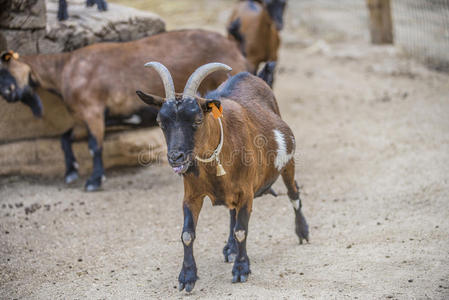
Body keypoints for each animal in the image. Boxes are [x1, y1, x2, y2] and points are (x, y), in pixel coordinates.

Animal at [0, 29, 245, 191]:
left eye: (6, 69)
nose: (7, 94)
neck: (66, 69)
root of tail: (233, 45)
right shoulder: (83, 118)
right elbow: (65, 137)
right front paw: (71, 171)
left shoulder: (93, 111)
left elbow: (94, 146)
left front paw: (94, 181)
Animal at [136, 61, 308, 292]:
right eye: (160, 122)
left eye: (197, 120)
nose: (175, 157)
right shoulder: (191, 195)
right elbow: (187, 234)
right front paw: (187, 276)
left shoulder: (247, 193)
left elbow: (241, 230)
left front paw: (241, 269)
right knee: (232, 213)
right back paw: (230, 248)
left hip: (288, 162)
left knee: (293, 192)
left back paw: (302, 232)